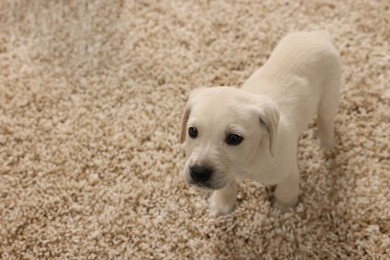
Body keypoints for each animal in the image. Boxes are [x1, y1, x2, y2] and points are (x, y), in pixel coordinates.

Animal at [181, 30, 340, 216]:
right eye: (192, 131)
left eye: (234, 138)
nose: (198, 172)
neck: (251, 157)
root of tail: (318, 34)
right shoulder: (226, 172)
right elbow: (226, 187)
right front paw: (221, 205)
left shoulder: (288, 173)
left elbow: (285, 192)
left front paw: (284, 208)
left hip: (330, 95)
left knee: (326, 119)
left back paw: (326, 144)